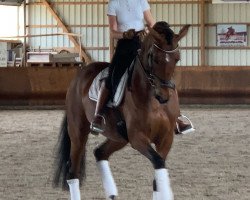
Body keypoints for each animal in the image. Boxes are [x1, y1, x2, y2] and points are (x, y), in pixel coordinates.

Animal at [52, 21, 189, 199]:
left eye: (177, 58)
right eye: (154, 58)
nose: (164, 96)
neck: (153, 101)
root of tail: (78, 77)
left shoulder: (166, 138)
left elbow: (158, 177)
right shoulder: (137, 138)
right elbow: (159, 162)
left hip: (119, 137)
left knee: (100, 153)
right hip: (78, 133)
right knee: (73, 173)